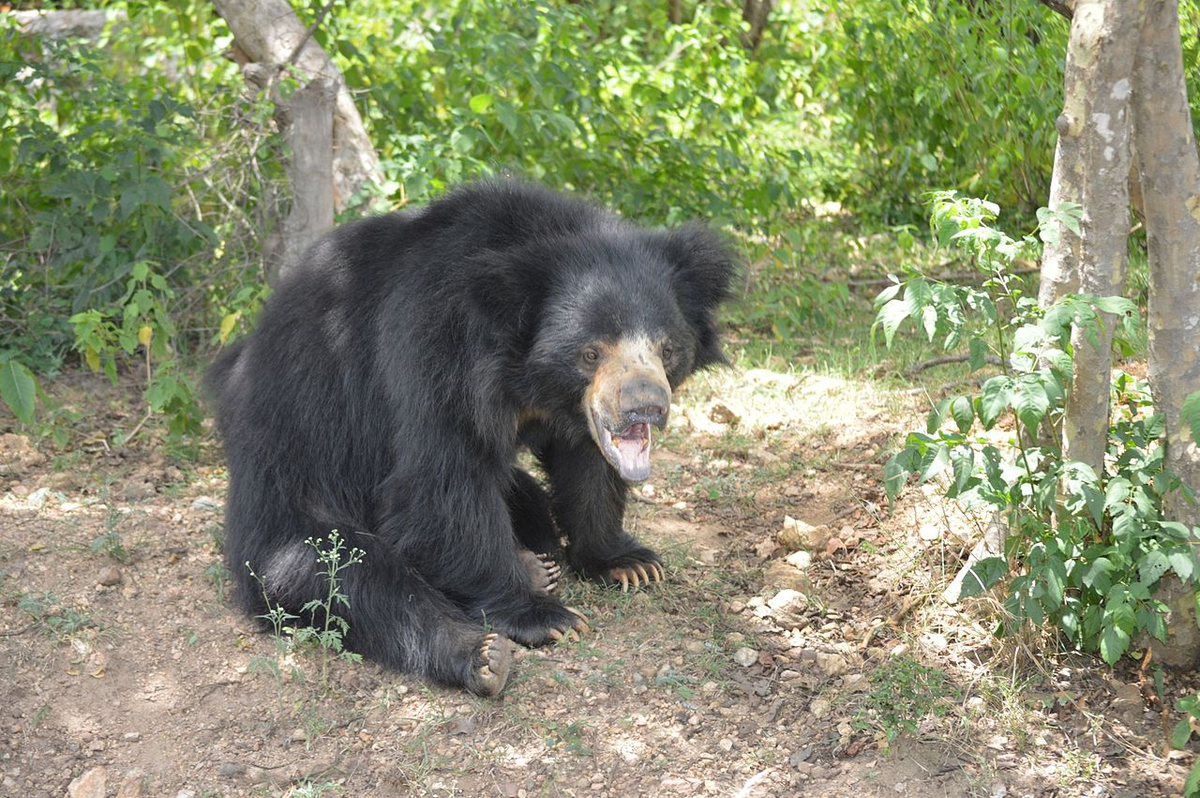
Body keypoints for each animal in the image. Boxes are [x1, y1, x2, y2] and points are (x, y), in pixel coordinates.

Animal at [206, 177, 729, 696]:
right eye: (590, 353)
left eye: (667, 348)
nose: (645, 407)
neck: (520, 367)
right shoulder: (434, 346)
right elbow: (444, 482)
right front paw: (543, 617)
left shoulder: (577, 412)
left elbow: (587, 462)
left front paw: (628, 563)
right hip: (295, 475)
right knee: (338, 575)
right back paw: (483, 651)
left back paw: (537, 563)